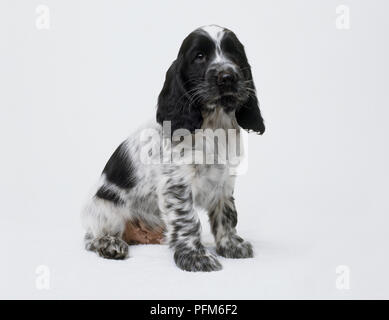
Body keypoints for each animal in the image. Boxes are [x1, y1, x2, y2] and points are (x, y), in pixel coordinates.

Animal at [81, 25, 264, 272]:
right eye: (199, 56)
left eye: (234, 53)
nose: (228, 76)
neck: (214, 123)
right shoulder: (177, 183)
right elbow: (188, 221)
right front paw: (195, 257)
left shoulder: (225, 180)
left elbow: (227, 215)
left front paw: (231, 246)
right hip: (105, 210)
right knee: (91, 238)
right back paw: (110, 244)